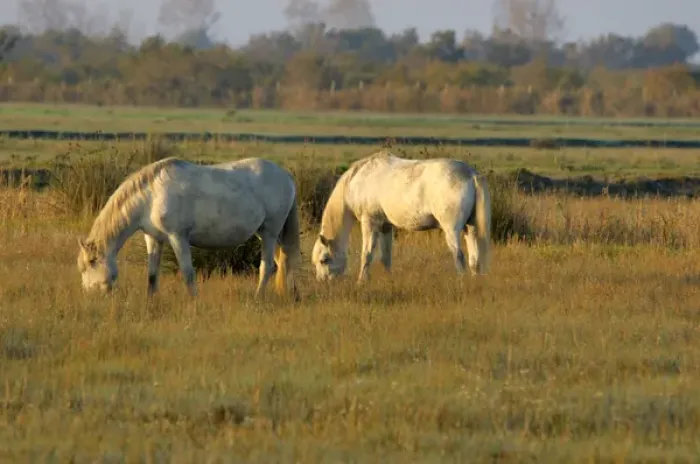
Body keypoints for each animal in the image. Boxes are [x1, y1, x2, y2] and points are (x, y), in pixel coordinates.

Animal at [77, 157, 302, 299]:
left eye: (91, 262)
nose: (91, 295)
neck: (151, 195)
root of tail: (287, 176)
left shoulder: (178, 237)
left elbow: (187, 272)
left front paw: (194, 300)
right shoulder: (153, 239)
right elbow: (152, 274)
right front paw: (151, 301)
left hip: (270, 232)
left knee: (267, 267)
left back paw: (257, 298)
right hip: (269, 235)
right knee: (283, 262)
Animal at [311, 151, 492, 283]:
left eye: (324, 260)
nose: (322, 281)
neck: (357, 180)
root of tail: (471, 174)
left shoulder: (370, 222)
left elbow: (367, 254)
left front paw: (361, 281)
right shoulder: (385, 226)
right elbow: (386, 257)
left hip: (451, 230)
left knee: (459, 256)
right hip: (470, 228)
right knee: (474, 259)